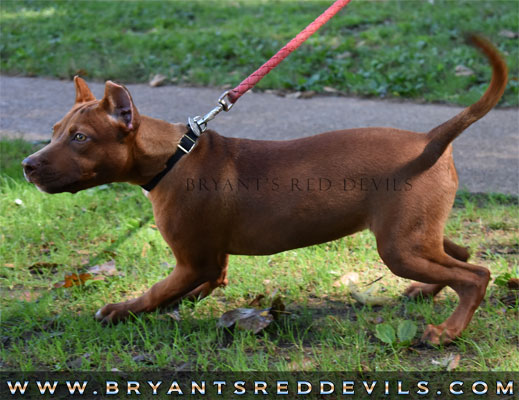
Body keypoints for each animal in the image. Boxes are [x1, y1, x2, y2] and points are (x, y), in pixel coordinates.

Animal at [22, 36, 506, 346]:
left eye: (80, 138)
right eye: (55, 130)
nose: (27, 166)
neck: (173, 155)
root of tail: (430, 139)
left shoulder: (192, 260)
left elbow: (158, 289)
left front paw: (122, 310)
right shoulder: (206, 260)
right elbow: (202, 281)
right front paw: (186, 299)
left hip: (399, 247)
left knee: (476, 275)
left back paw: (448, 332)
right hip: (413, 233)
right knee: (460, 255)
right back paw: (426, 293)